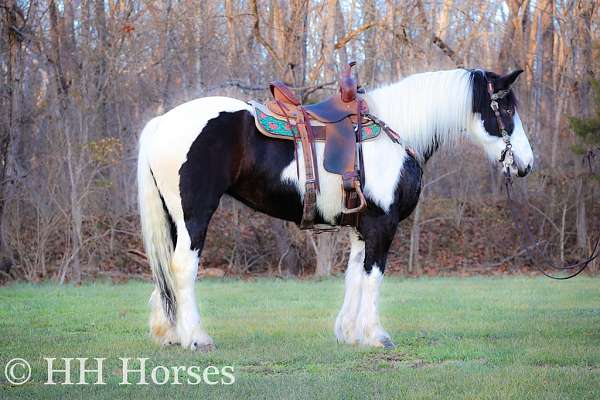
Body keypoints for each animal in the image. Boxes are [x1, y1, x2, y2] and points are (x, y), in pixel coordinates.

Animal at [137, 68, 536, 350]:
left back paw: (171, 333)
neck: (396, 133)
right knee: (183, 267)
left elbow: (354, 275)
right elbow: (373, 277)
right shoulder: (382, 225)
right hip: (194, 217)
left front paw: (349, 333)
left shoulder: (362, 226)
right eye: (507, 108)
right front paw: (376, 335)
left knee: (167, 271)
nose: (526, 164)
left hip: (174, 219)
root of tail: (162, 122)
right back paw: (196, 338)